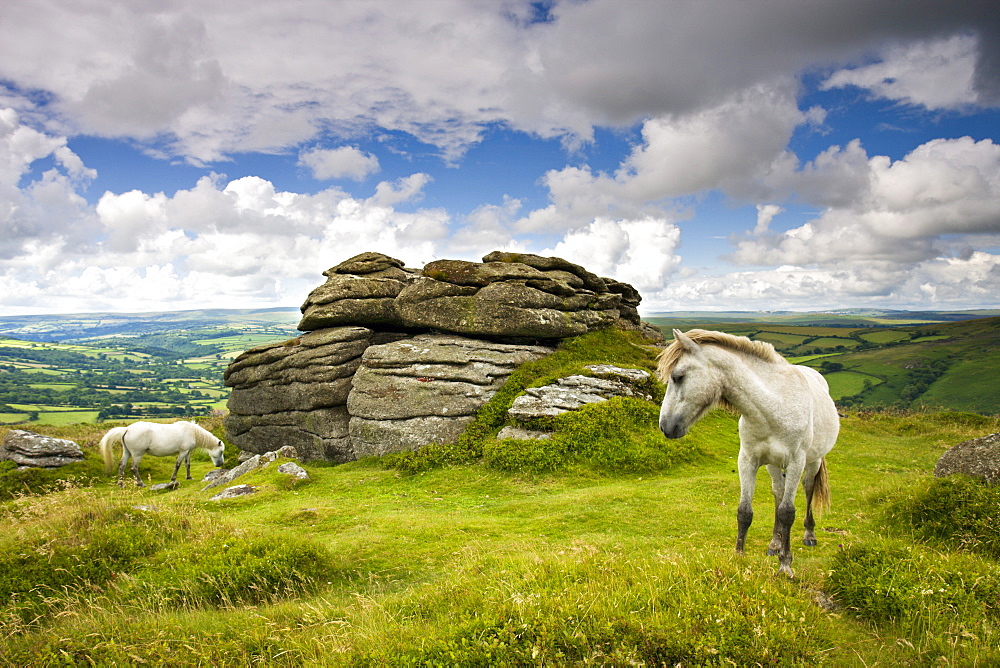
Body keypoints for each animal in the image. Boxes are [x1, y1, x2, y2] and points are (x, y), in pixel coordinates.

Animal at [98, 420, 226, 488]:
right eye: (221, 451)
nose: (220, 464)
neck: (192, 432)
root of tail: (127, 429)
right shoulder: (183, 452)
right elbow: (178, 465)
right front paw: (173, 479)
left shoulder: (187, 452)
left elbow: (187, 464)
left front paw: (189, 477)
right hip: (137, 454)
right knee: (134, 468)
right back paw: (141, 483)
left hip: (127, 452)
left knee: (122, 465)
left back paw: (120, 483)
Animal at [660, 328, 840, 576]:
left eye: (678, 377)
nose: (665, 426)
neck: (773, 406)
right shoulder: (747, 460)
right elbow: (745, 512)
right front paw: (738, 557)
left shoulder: (796, 462)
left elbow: (787, 512)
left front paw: (785, 565)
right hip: (774, 464)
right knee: (778, 492)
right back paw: (775, 542)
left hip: (813, 462)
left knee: (807, 489)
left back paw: (809, 534)